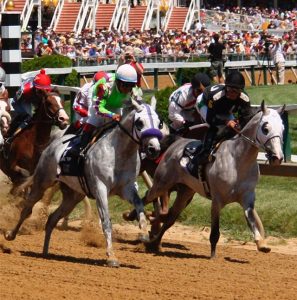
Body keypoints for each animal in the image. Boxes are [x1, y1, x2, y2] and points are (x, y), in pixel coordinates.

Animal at [5, 100, 162, 268]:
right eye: (140, 123)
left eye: (160, 123)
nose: (154, 149)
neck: (119, 154)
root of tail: (53, 144)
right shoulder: (100, 189)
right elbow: (106, 222)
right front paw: (111, 257)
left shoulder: (127, 188)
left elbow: (140, 206)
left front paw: (144, 234)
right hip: (42, 182)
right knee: (27, 208)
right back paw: (10, 234)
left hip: (73, 196)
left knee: (52, 218)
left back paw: (45, 252)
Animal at [142, 102, 284, 258]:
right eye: (265, 128)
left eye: (283, 129)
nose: (277, 157)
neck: (237, 161)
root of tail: (177, 142)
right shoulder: (217, 201)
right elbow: (215, 232)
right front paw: (213, 256)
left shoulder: (247, 198)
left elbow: (252, 220)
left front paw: (262, 244)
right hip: (162, 183)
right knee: (148, 196)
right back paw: (135, 217)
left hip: (186, 192)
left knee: (169, 219)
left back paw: (154, 243)